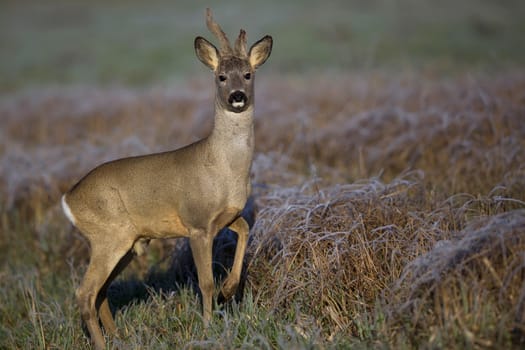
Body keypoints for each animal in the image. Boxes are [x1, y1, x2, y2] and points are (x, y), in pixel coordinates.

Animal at [61, 8, 272, 350]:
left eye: (248, 74)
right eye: (220, 76)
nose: (237, 96)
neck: (224, 168)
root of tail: (68, 200)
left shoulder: (226, 217)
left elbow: (245, 230)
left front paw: (229, 291)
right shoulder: (197, 223)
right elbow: (204, 282)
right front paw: (208, 326)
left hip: (129, 242)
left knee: (101, 291)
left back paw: (120, 337)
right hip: (109, 235)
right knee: (85, 292)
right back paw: (103, 343)